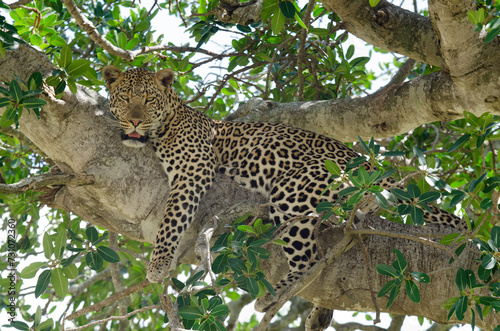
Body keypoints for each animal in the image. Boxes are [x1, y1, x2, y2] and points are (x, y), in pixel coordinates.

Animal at [102, 65, 464, 314]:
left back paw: (271, 297)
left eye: (149, 99)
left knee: (310, 259)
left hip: (293, 193)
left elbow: (172, 219)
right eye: (125, 98)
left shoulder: (194, 170)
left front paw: (158, 263)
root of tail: (369, 164)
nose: (135, 121)